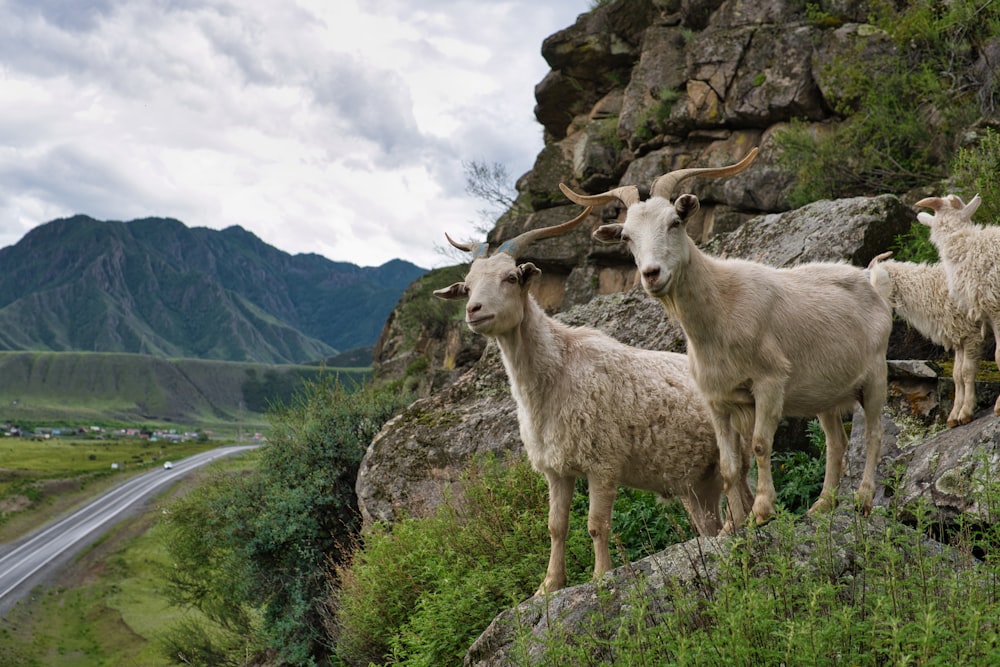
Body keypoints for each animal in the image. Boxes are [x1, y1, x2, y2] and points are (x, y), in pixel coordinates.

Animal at [432, 209, 752, 596]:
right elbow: (556, 526)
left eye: (510, 277)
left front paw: (601, 577)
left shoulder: (603, 462)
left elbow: (597, 523)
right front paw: (548, 586)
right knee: (709, 518)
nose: (473, 310)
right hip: (697, 483)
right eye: (467, 285)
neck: (557, 372)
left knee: (740, 491)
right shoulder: (556, 470)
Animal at [560, 149, 896, 528]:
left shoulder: (770, 382)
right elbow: (728, 465)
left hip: (875, 374)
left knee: (873, 434)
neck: (722, 308)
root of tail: (873, 281)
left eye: (675, 222)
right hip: (824, 392)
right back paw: (822, 505)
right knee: (836, 441)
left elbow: (762, 445)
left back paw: (863, 499)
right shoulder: (717, 400)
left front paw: (762, 511)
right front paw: (736, 525)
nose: (651, 274)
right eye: (627, 237)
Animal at [868, 250, 984, 428]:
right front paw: (954, 416)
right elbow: (957, 375)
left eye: (878, 280)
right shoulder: (959, 335)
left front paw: (966, 412)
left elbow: (966, 372)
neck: (931, 288)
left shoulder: (971, 333)